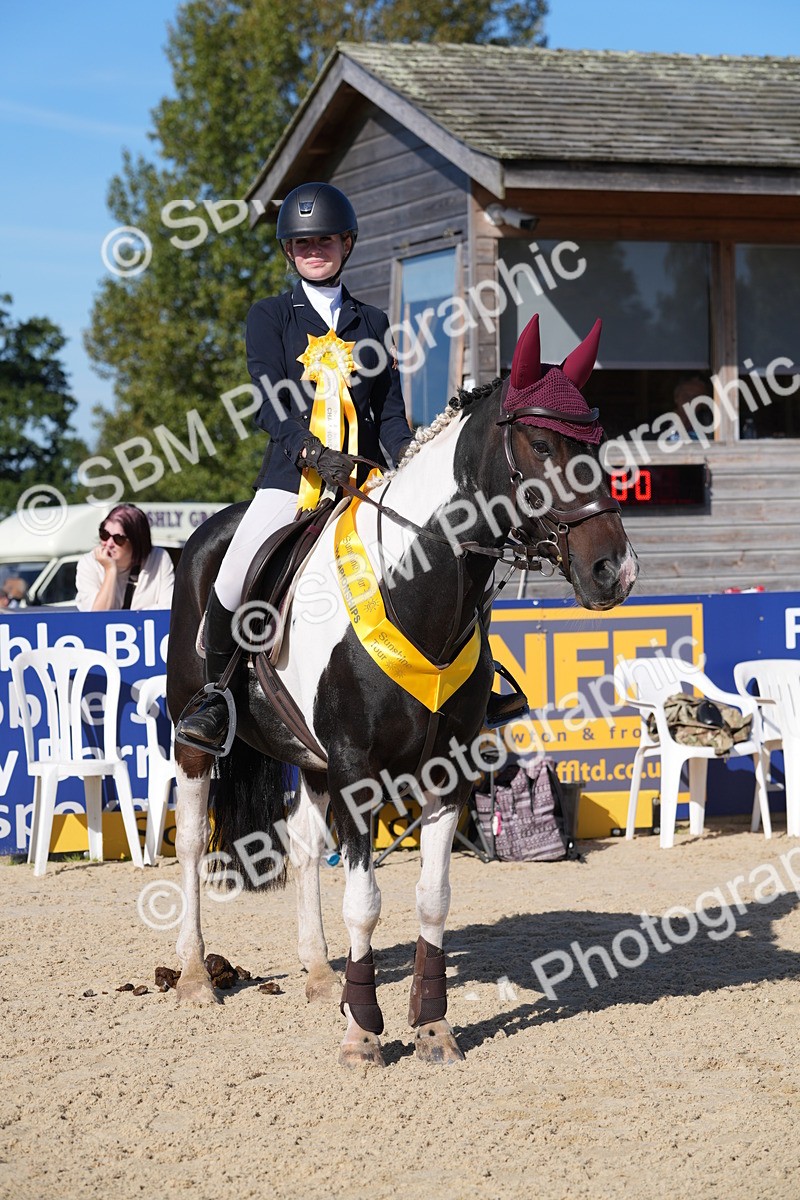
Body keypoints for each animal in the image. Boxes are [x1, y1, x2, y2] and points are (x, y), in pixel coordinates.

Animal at [165, 313, 638, 1067]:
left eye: (597, 443)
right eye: (540, 444)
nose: (614, 571)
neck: (415, 583)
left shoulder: (446, 770)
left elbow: (432, 898)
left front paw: (431, 1028)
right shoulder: (357, 771)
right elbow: (365, 902)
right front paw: (364, 1032)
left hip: (310, 757)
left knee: (304, 845)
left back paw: (319, 973)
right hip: (195, 738)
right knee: (188, 840)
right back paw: (192, 975)